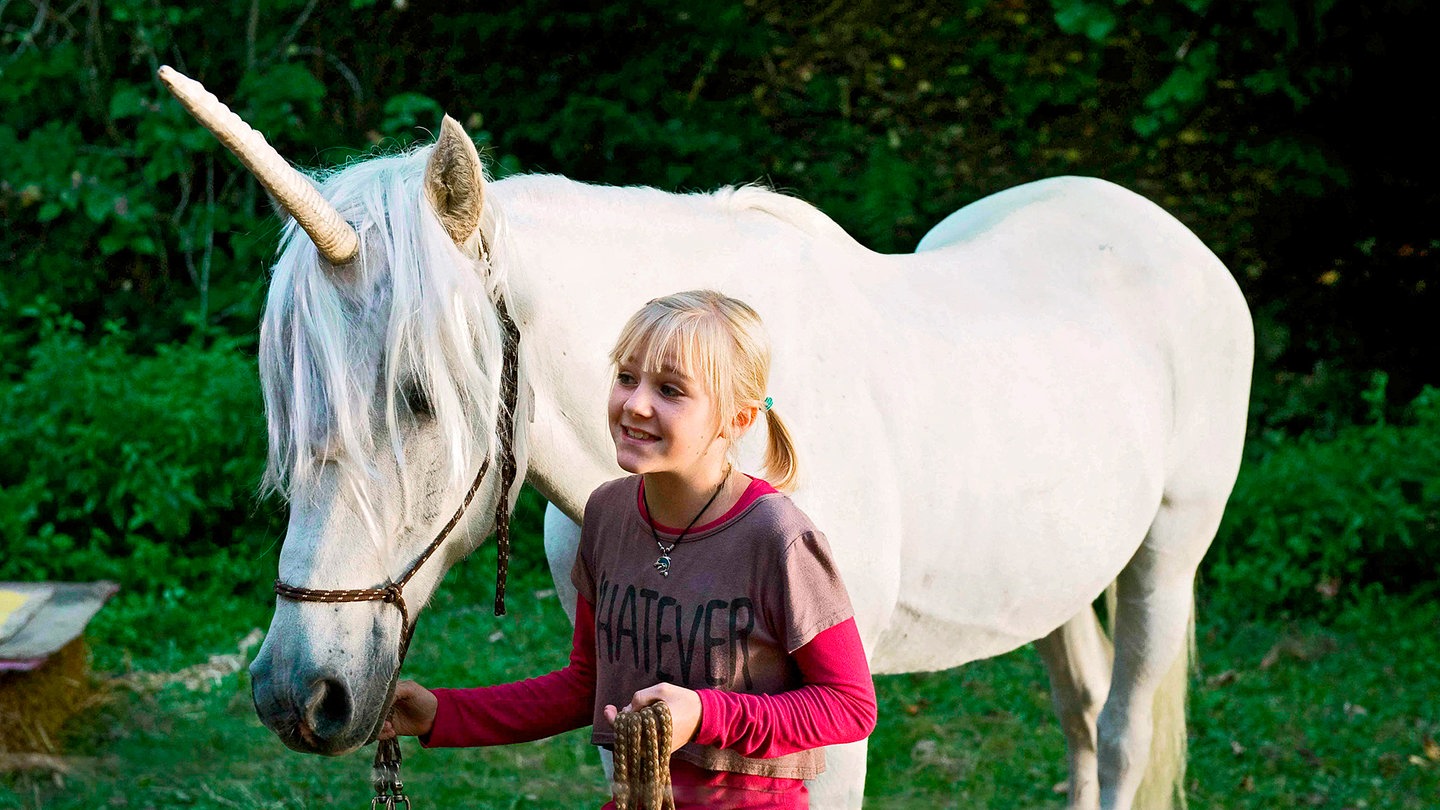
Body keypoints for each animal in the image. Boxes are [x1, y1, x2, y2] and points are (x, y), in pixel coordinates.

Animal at [160, 67, 1249, 807]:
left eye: (421, 398)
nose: (297, 693)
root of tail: (1159, 230)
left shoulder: (829, 730)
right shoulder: (616, 697)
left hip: (1168, 554)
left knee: (1121, 730)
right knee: (1083, 716)